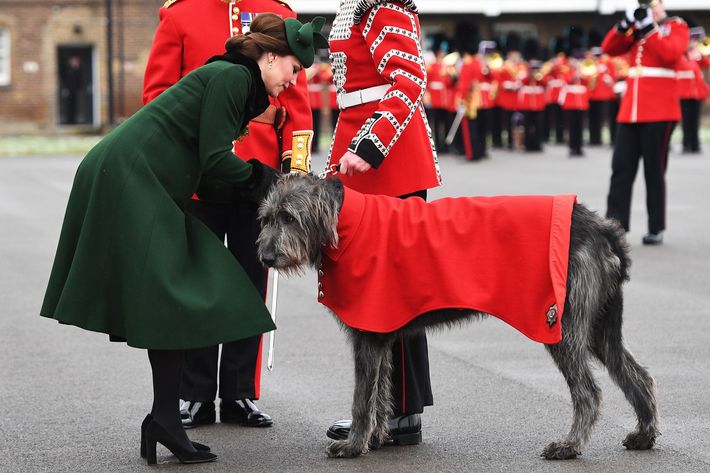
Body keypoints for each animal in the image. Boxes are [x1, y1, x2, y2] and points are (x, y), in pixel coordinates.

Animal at [258, 172, 660, 458]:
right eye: (266, 218)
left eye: (290, 217)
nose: (265, 257)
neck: (346, 224)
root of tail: (602, 228)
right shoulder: (380, 330)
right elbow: (381, 392)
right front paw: (375, 438)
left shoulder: (367, 336)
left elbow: (362, 398)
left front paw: (354, 445)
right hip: (600, 326)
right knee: (635, 374)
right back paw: (644, 434)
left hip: (561, 324)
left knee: (589, 392)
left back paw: (569, 446)